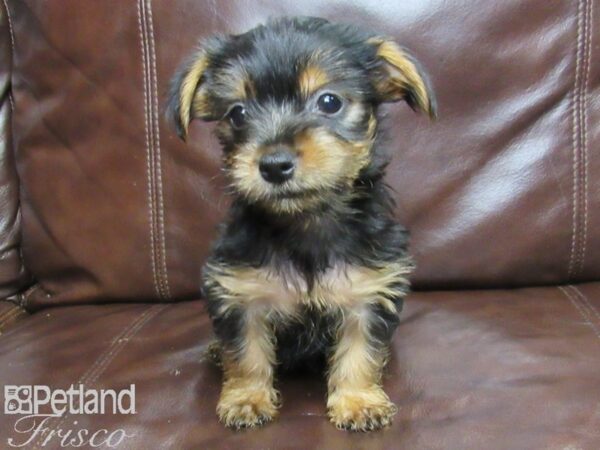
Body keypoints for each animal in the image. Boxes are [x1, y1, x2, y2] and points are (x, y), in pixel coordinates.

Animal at [169, 16, 436, 432]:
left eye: (330, 101)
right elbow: (245, 352)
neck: (305, 221)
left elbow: (361, 351)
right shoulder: (241, 293)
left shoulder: (368, 291)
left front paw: (358, 401)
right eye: (237, 113)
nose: (274, 165)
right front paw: (247, 397)